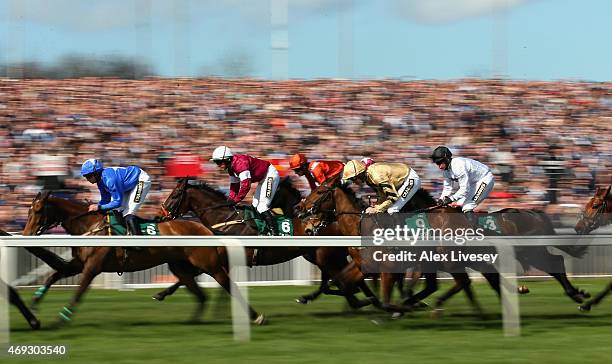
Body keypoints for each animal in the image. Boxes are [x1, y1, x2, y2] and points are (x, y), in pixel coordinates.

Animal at [22, 192, 262, 326]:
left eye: (38, 210)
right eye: (28, 211)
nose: (26, 234)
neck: (90, 225)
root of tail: (206, 229)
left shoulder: (93, 266)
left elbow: (79, 292)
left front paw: (62, 317)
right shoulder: (78, 264)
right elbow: (53, 276)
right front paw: (34, 304)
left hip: (210, 265)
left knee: (229, 287)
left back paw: (257, 317)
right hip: (180, 267)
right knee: (201, 295)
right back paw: (191, 320)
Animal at [158, 178, 378, 308]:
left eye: (175, 195)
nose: (160, 216)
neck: (225, 220)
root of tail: (333, 219)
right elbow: (190, 274)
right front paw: (162, 293)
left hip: (325, 255)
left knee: (341, 279)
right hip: (318, 255)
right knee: (343, 278)